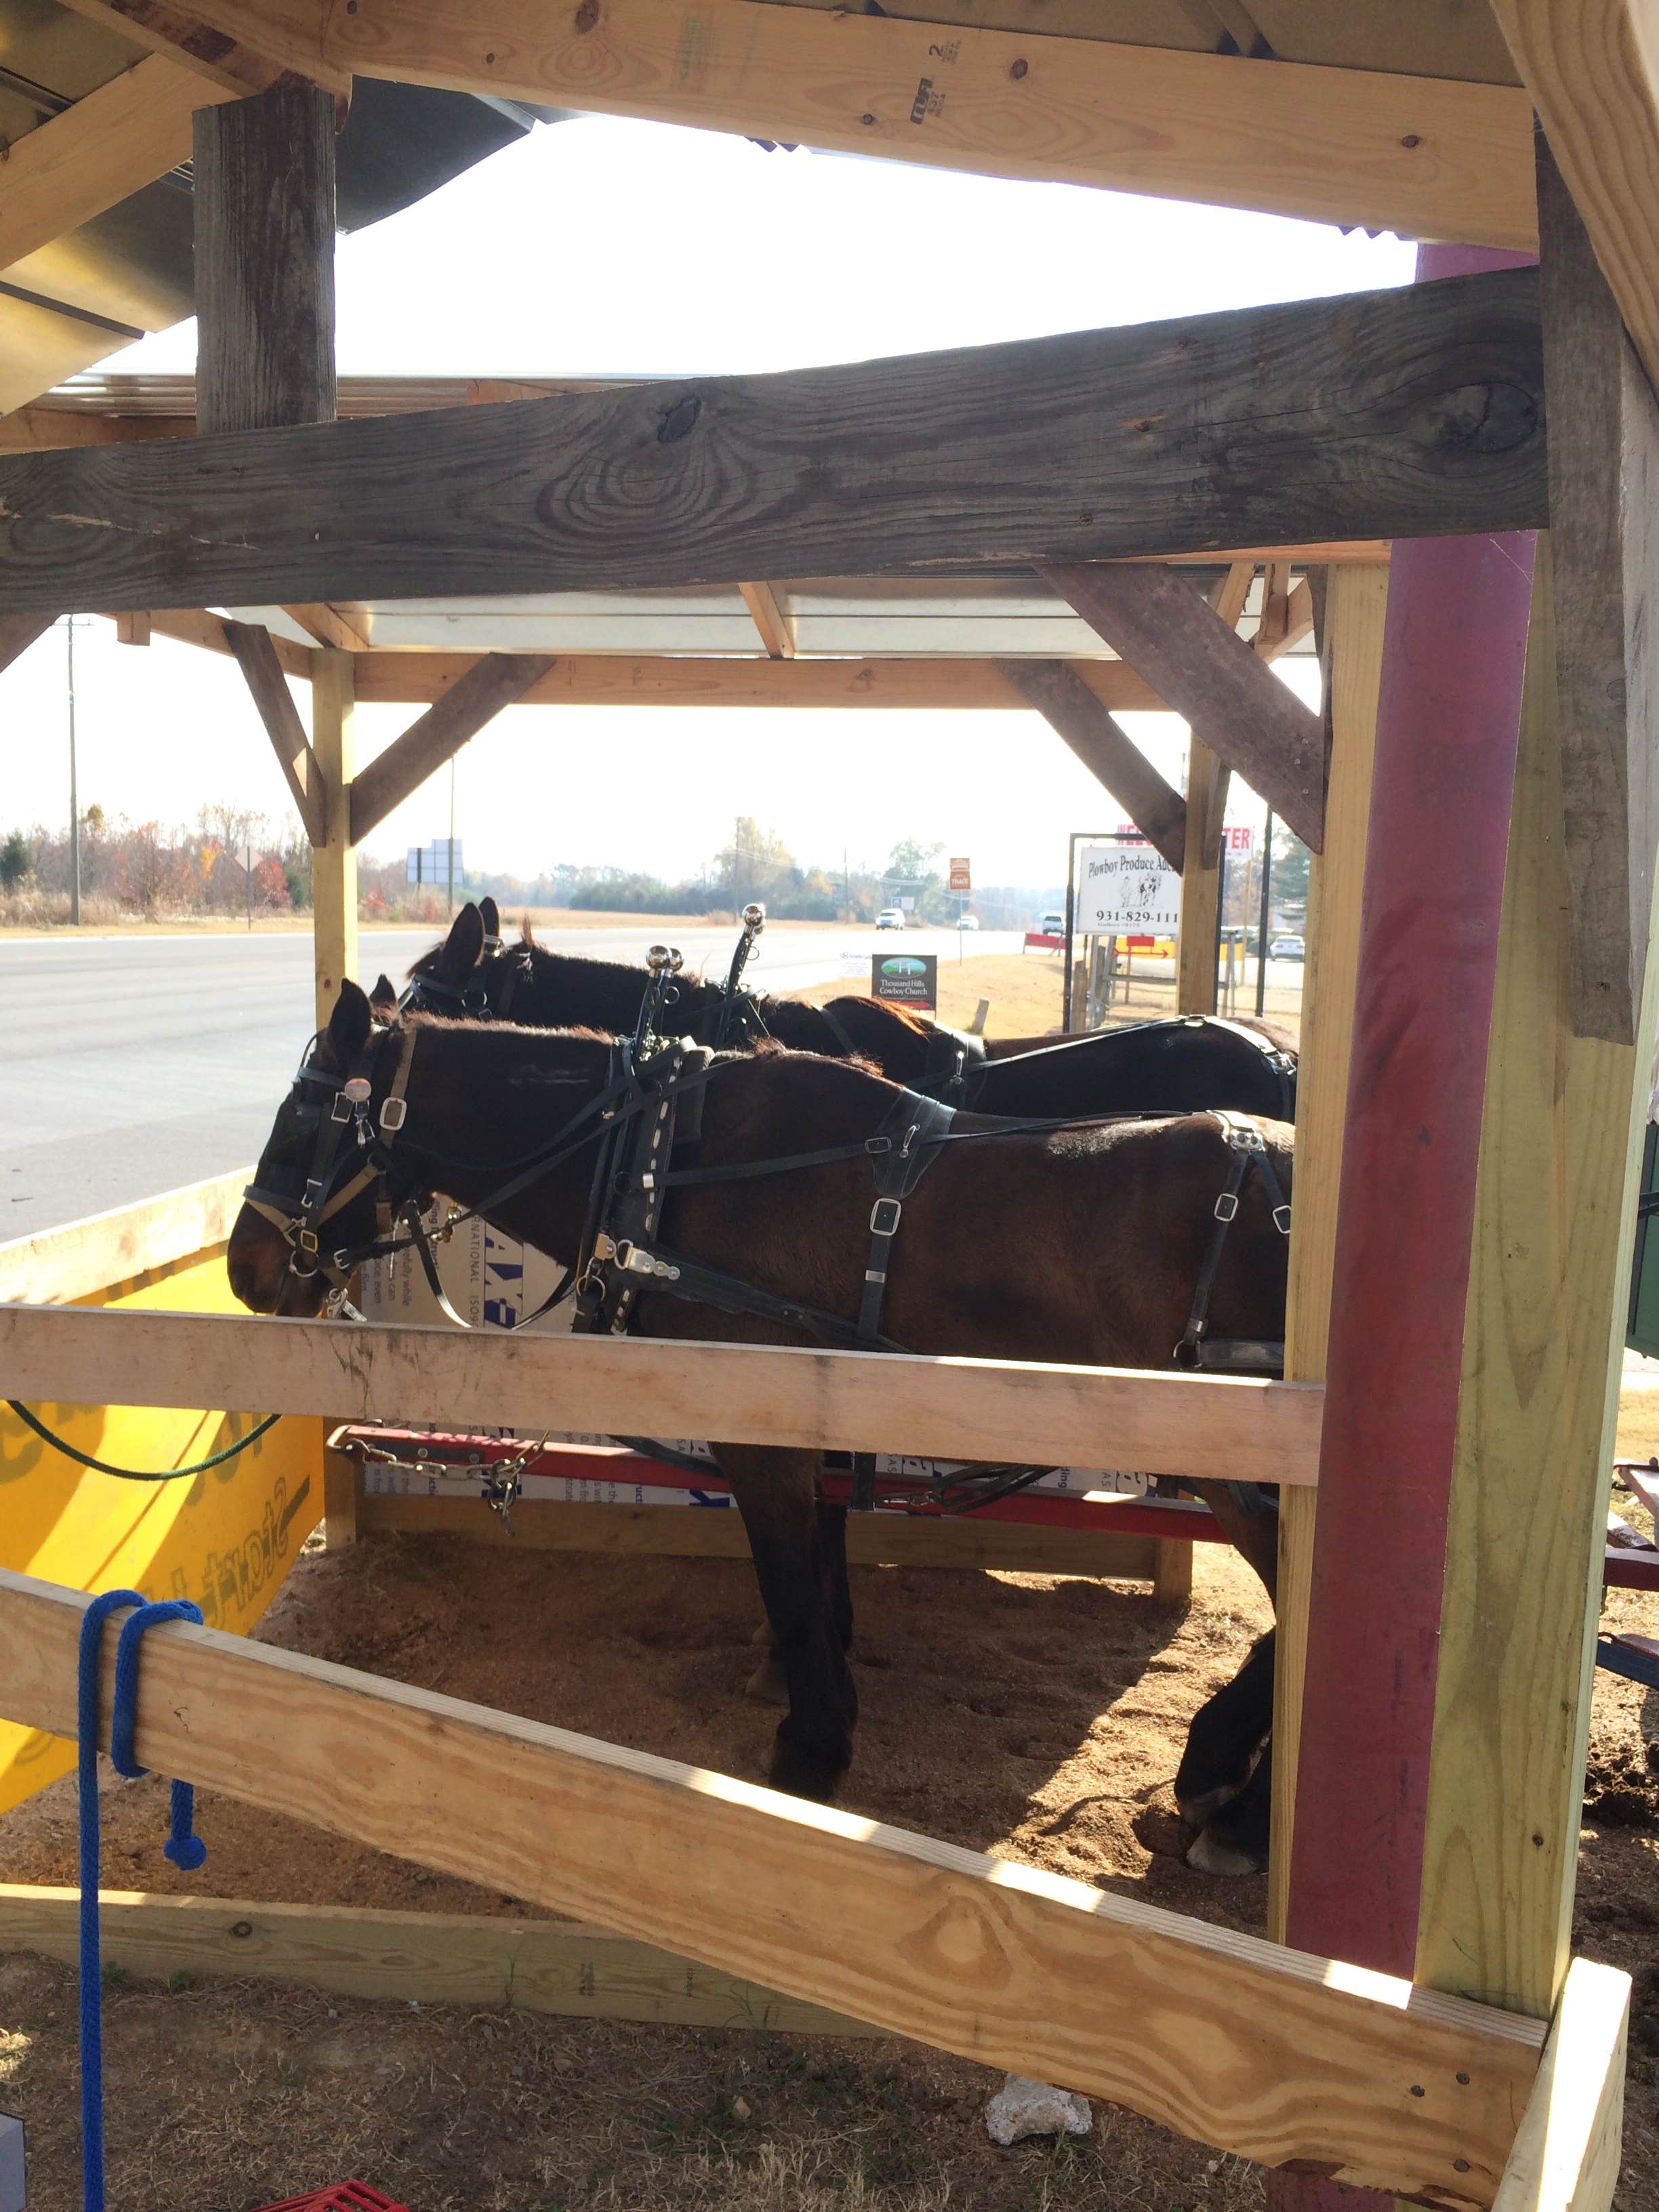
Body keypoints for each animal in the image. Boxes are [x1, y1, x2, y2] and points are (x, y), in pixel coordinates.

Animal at [228, 979, 1294, 1812]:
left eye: (304, 1119)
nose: (245, 1266)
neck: (673, 1163)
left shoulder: (761, 1425)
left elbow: (787, 1575)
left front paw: (814, 1743)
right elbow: (818, 1562)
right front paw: (822, 1692)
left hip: (1244, 1473)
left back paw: (1228, 1792)